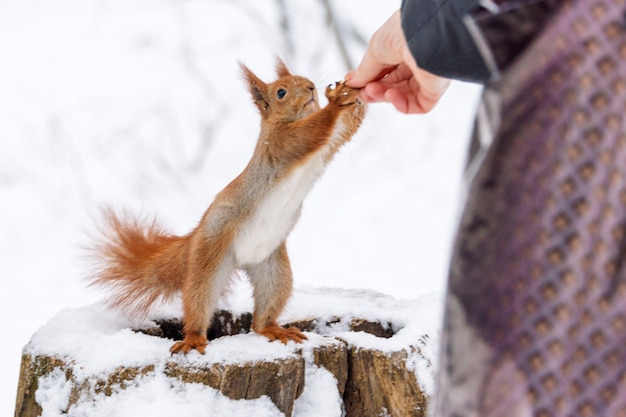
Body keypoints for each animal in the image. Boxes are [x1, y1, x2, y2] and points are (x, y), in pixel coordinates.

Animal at [88, 58, 366, 354]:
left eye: (304, 78)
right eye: (281, 92)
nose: (312, 87)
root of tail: (195, 237)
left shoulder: (330, 143)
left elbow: (346, 127)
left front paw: (352, 92)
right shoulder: (281, 144)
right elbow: (309, 133)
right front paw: (335, 102)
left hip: (274, 271)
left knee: (262, 317)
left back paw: (273, 329)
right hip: (209, 261)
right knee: (198, 301)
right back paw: (193, 338)